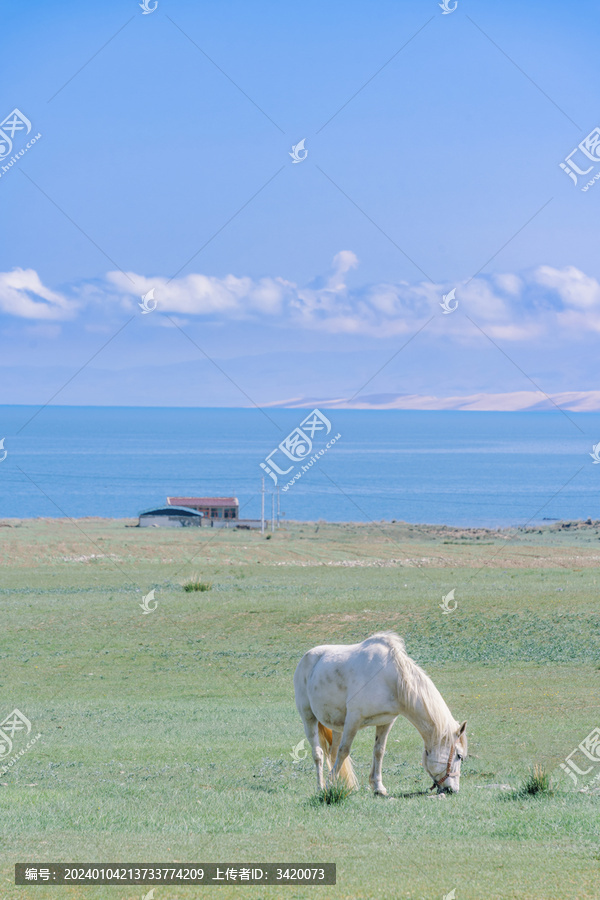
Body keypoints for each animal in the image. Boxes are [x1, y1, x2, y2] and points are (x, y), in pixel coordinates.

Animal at [292, 632, 466, 796]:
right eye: (459, 756)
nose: (453, 790)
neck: (391, 679)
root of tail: (306, 657)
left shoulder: (385, 722)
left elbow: (379, 751)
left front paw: (378, 787)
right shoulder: (354, 719)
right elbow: (344, 751)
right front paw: (328, 785)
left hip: (337, 726)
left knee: (333, 752)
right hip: (308, 718)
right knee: (319, 754)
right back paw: (321, 787)